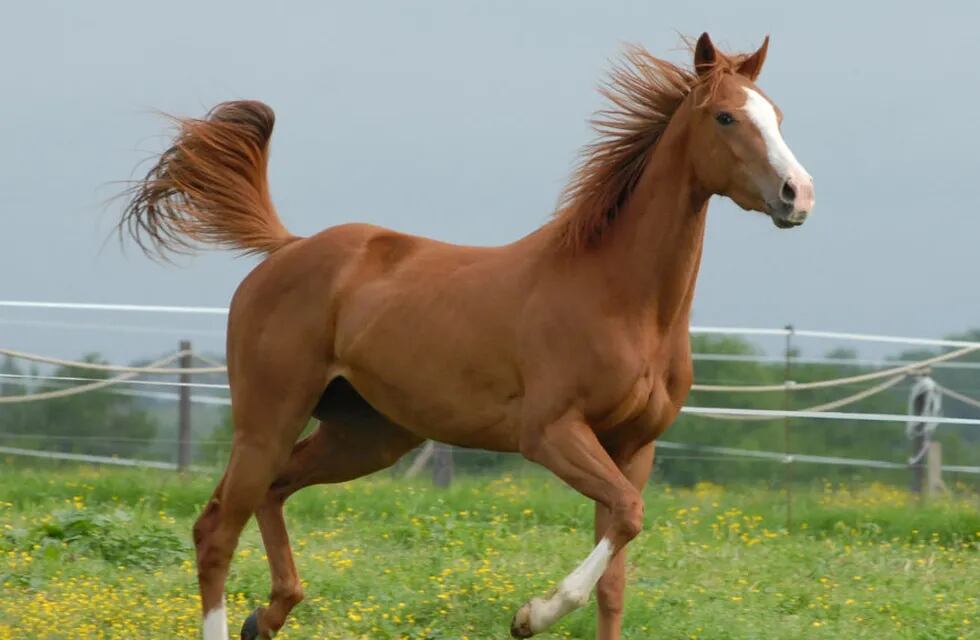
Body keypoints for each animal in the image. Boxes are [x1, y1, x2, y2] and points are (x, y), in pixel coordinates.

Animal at [118, 31, 816, 640]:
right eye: (726, 117)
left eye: (778, 115)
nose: (798, 194)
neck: (623, 300)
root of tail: (287, 248)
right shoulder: (551, 433)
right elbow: (626, 518)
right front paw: (529, 615)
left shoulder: (633, 448)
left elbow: (616, 573)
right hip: (269, 418)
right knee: (216, 528)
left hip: (365, 435)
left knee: (273, 492)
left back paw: (268, 616)